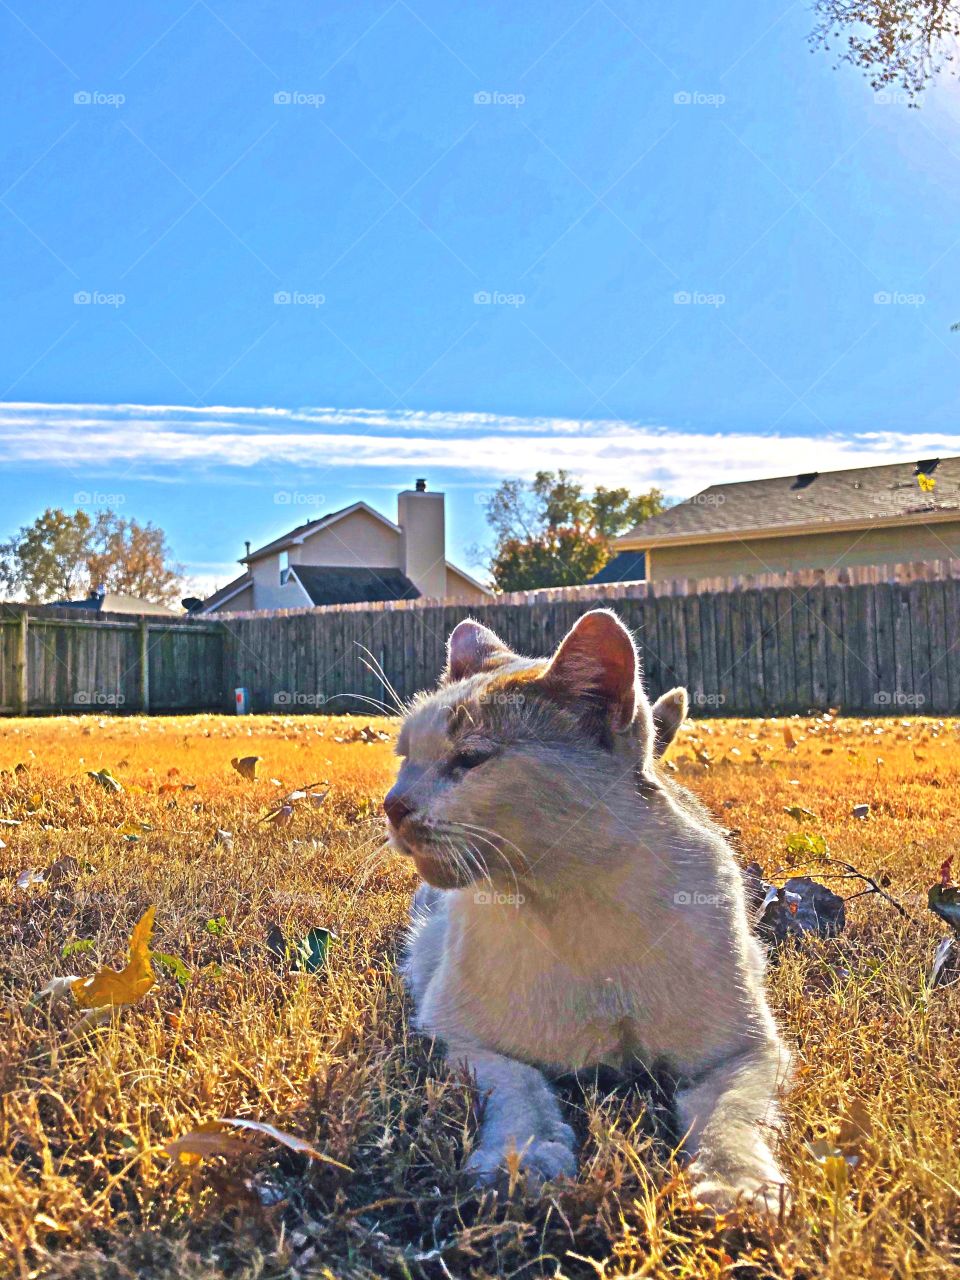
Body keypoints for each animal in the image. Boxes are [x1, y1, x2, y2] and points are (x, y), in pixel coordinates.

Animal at [386, 614, 793, 1213]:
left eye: (472, 759)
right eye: (404, 758)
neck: (573, 903)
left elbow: (730, 1121)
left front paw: (736, 1185)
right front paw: (526, 1161)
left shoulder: (744, 1053)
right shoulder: (463, 1039)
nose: (392, 805)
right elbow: (523, 1091)